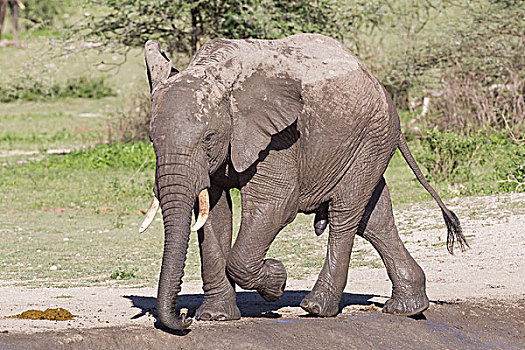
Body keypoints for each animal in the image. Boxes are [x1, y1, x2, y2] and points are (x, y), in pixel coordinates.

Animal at [138, 34, 466, 330]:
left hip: (372, 136)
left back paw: (317, 307)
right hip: (366, 144)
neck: (218, 74)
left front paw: (276, 281)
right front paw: (215, 317)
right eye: (152, 140)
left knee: (345, 213)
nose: (184, 317)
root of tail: (376, 82)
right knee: (374, 219)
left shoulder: (279, 137)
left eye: (208, 137)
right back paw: (408, 308)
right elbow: (213, 217)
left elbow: (275, 205)